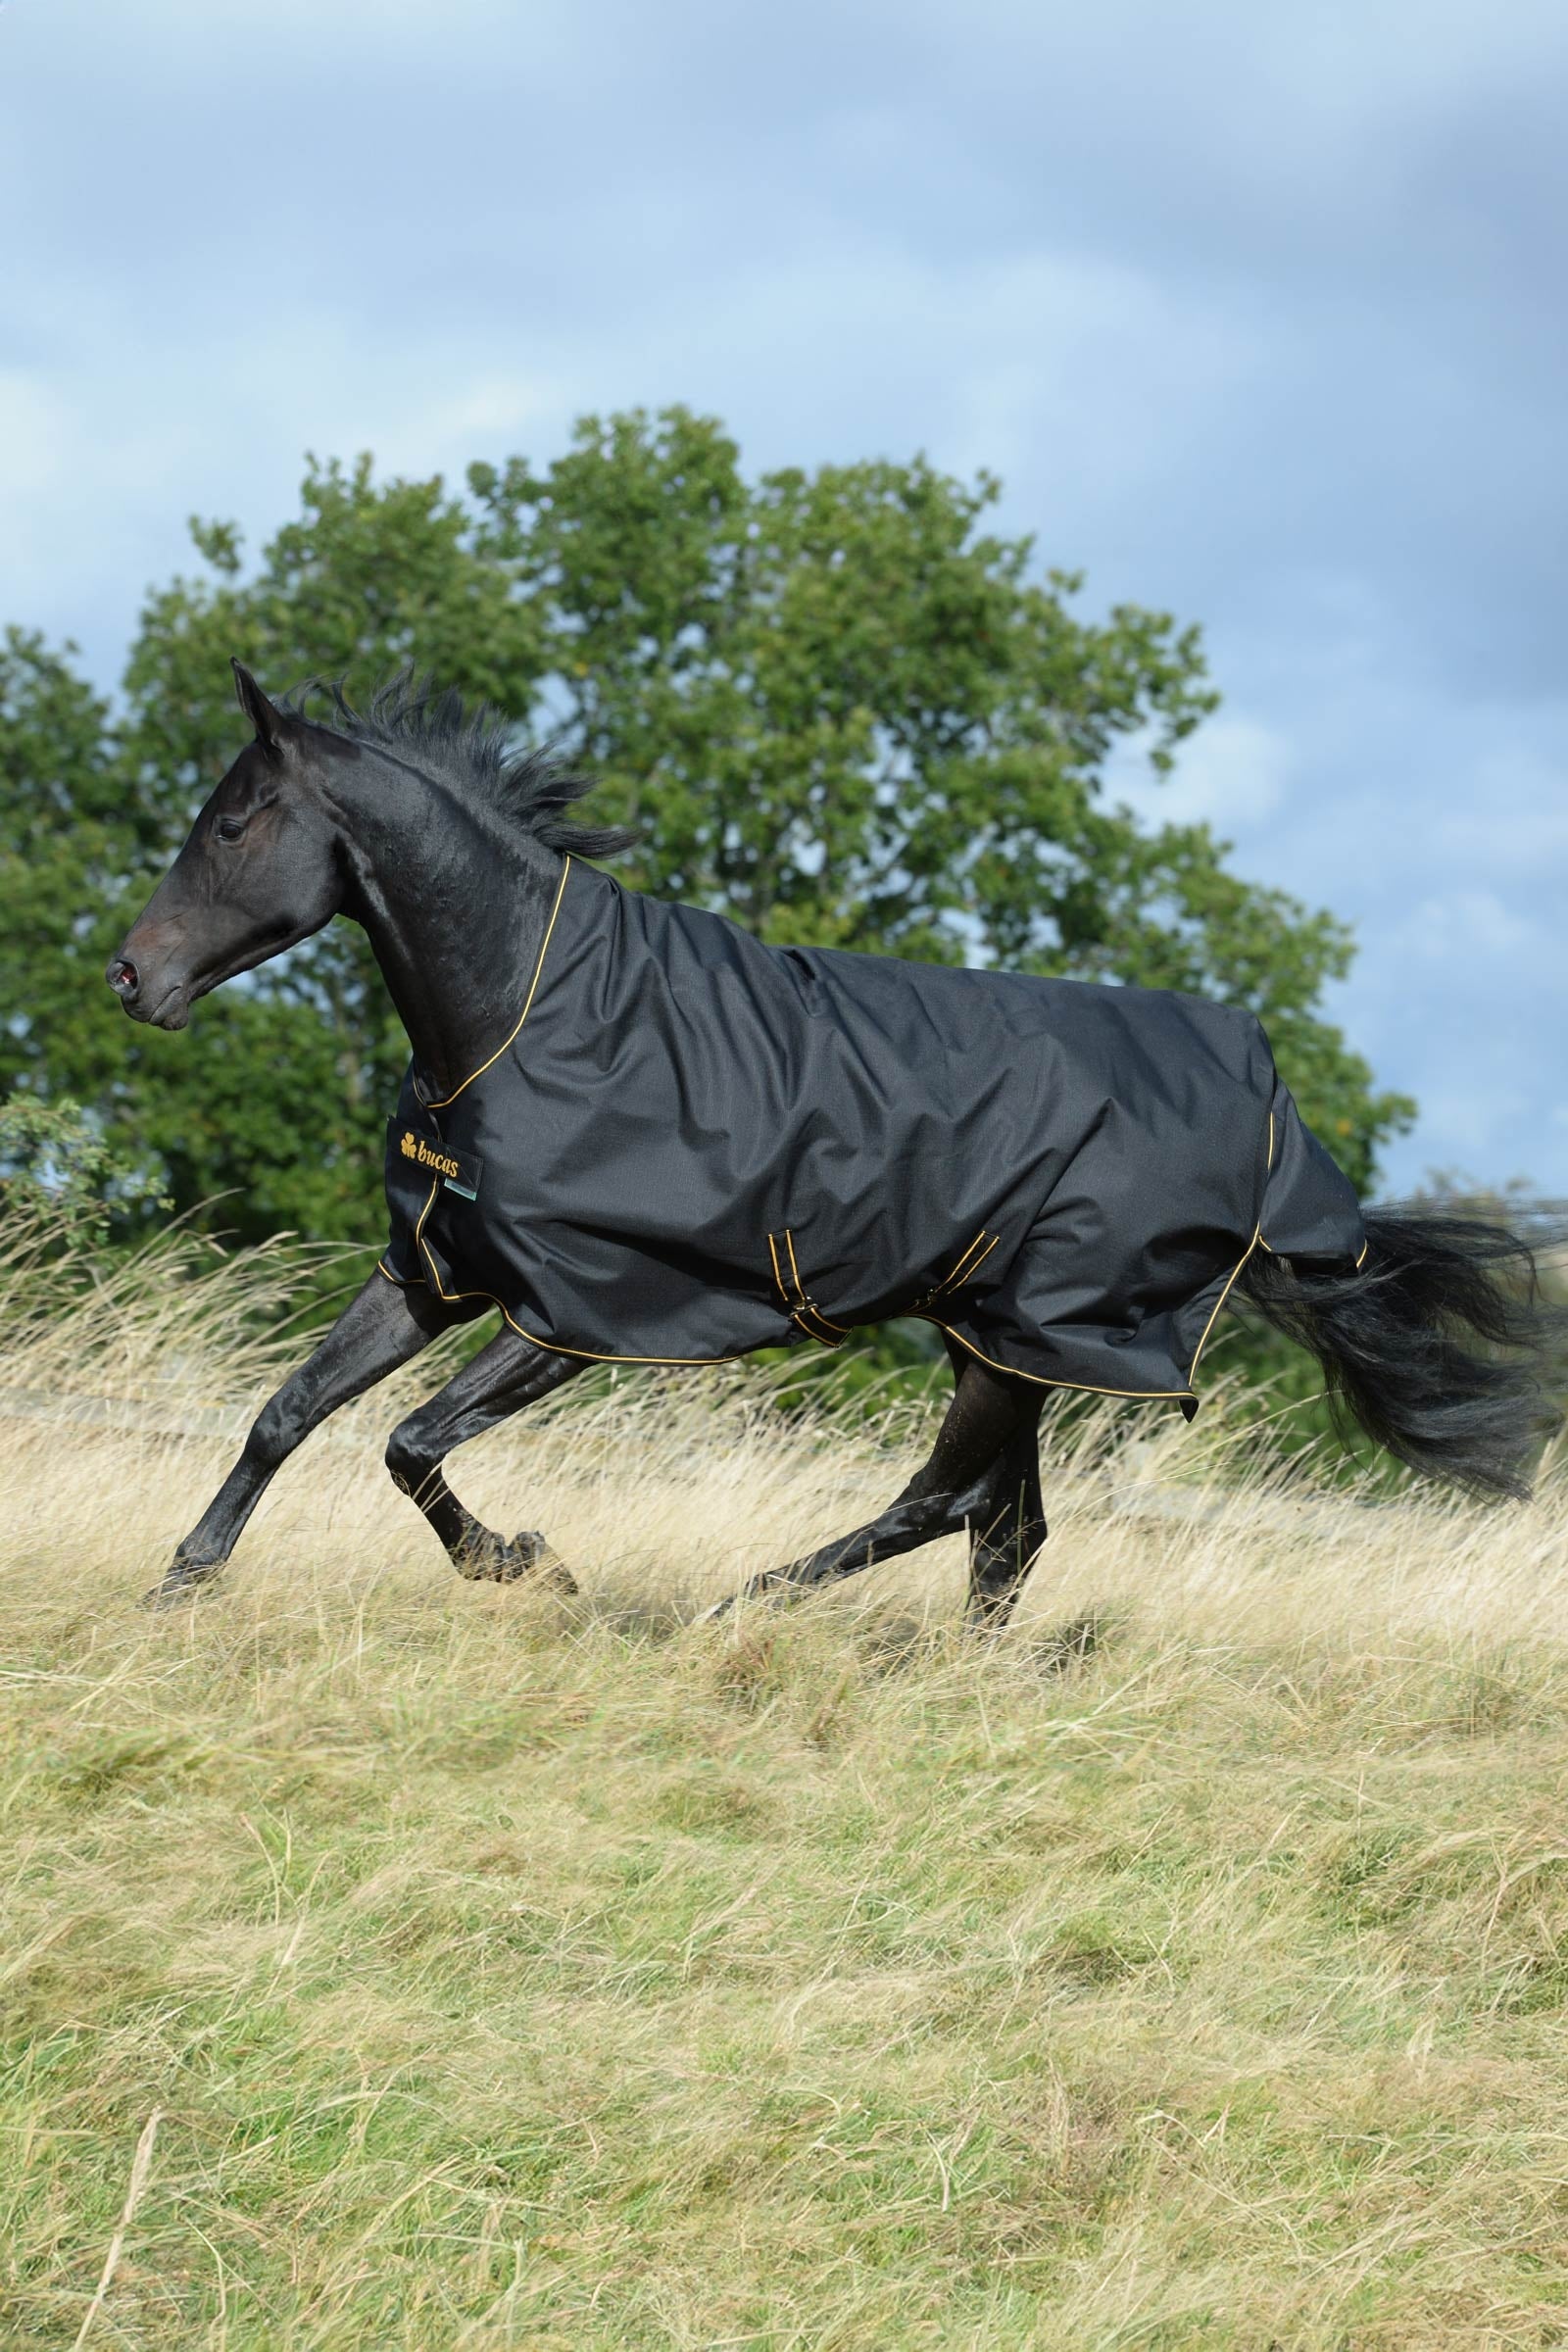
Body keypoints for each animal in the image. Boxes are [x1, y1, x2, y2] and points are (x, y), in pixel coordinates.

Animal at [106, 662, 1563, 1618]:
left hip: (1021, 1340)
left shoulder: (576, 1313)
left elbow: (410, 1441)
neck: (527, 1010)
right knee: (1005, 1530)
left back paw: (739, 1605)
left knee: (950, 1508)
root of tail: (1266, 1122)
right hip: (1002, 1341)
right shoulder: (435, 1272)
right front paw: (182, 1581)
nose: (130, 978)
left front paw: (524, 1563)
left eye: (231, 820)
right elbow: (289, 1411)